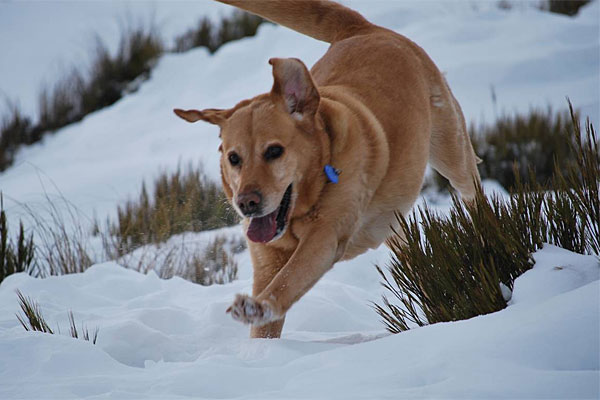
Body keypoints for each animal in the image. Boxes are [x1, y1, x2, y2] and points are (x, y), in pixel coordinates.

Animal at [172, 0, 478, 340]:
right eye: (234, 158)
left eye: (274, 151)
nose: (246, 203)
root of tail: (361, 29)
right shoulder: (266, 259)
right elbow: (266, 319)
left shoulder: (325, 236)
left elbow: (288, 280)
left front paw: (259, 306)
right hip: (391, 218)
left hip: (451, 149)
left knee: (472, 187)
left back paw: (482, 225)